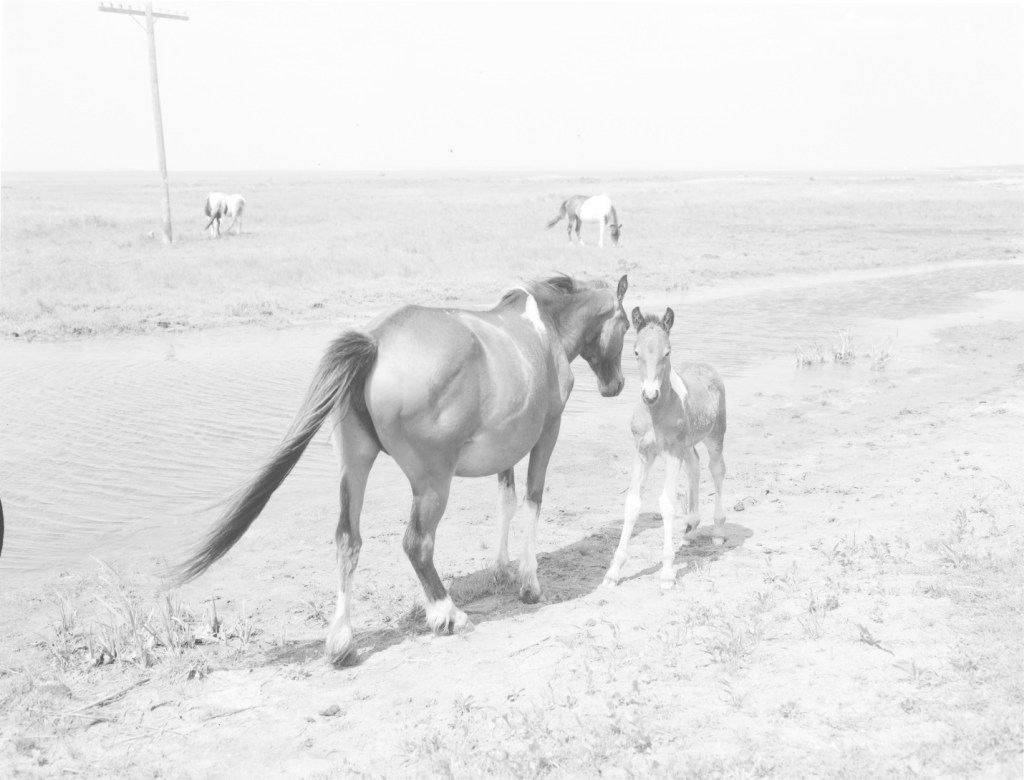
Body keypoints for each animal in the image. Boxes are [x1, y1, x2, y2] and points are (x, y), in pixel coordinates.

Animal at [175, 273, 631, 665]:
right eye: (626, 324)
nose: (617, 385)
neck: (543, 327)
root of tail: (375, 341)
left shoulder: (509, 445)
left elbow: (506, 499)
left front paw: (502, 568)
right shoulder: (546, 433)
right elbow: (533, 503)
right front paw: (528, 583)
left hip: (355, 467)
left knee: (348, 541)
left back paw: (342, 642)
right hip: (432, 484)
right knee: (417, 544)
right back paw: (448, 614)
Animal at [603, 307, 728, 590]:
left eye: (667, 352)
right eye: (635, 351)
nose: (650, 395)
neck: (656, 412)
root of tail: (707, 366)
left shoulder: (671, 452)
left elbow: (667, 503)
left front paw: (668, 572)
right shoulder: (642, 451)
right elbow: (632, 503)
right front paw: (613, 572)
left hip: (714, 436)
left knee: (717, 469)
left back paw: (717, 531)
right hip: (687, 444)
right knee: (694, 466)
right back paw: (690, 531)